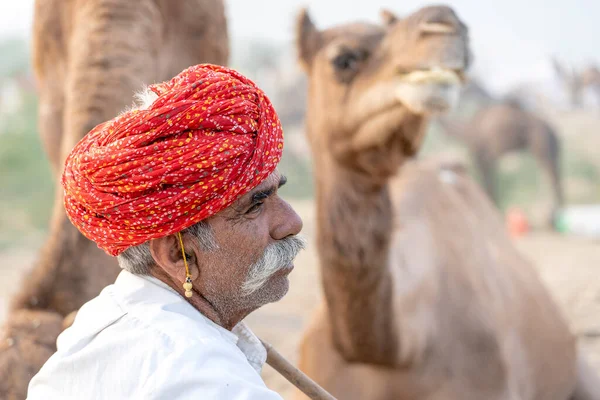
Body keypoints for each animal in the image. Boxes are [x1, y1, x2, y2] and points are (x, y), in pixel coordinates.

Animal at [434, 101, 564, 228]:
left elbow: (488, 178)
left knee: (550, 173)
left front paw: (494, 211)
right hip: (550, 146)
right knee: (552, 173)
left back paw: (552, 217)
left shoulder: (483, 152)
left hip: (541, 141)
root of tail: (553, 130)